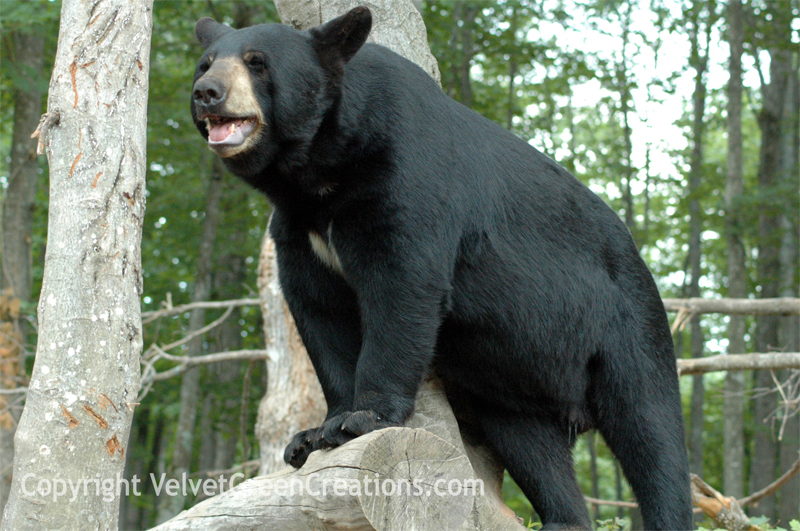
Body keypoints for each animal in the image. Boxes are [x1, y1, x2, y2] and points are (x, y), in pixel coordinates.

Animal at [192, 8, 692, 531]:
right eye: (205, 63)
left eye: (257, 62)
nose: (207, 92)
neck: (318, 174)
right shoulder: (297, 229)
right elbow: (320, 313)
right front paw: (312, 434)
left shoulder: (405, 176)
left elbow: (401, 286)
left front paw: (361, 419)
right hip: (513, 384)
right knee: (535, 449)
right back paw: (562, 516)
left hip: (628, 324)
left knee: (650, 428)